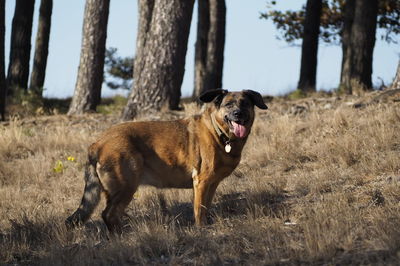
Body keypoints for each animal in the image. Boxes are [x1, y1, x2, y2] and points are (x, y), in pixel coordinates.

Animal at [65, 89, 268, 231]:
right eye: (229, 105)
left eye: (245, 104)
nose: (238, 114)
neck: (219, 133)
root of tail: (97, 143)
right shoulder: (201, 182)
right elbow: (199, 210)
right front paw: (201, 229)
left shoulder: (211, 184)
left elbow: (206, 206)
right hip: (126, 186)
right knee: (108, 215)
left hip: (115, 190)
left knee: (110, 215)